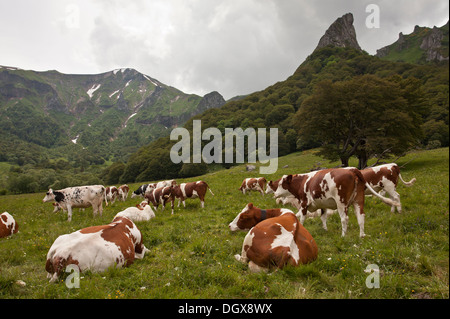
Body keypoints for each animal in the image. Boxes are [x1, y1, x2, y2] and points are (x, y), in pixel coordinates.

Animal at [272, 169, 400, 239]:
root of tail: (351, 170)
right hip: (358, 200)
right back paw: (362, 235)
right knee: (361, 216)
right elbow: (323, 217)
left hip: (341, 203)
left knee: (344, 219)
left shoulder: (304, 204)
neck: (303, 182)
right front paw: (325, 229)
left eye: (281, 184)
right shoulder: (322, 204)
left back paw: (343, 236)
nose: (275, 194)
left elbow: (302, 218)